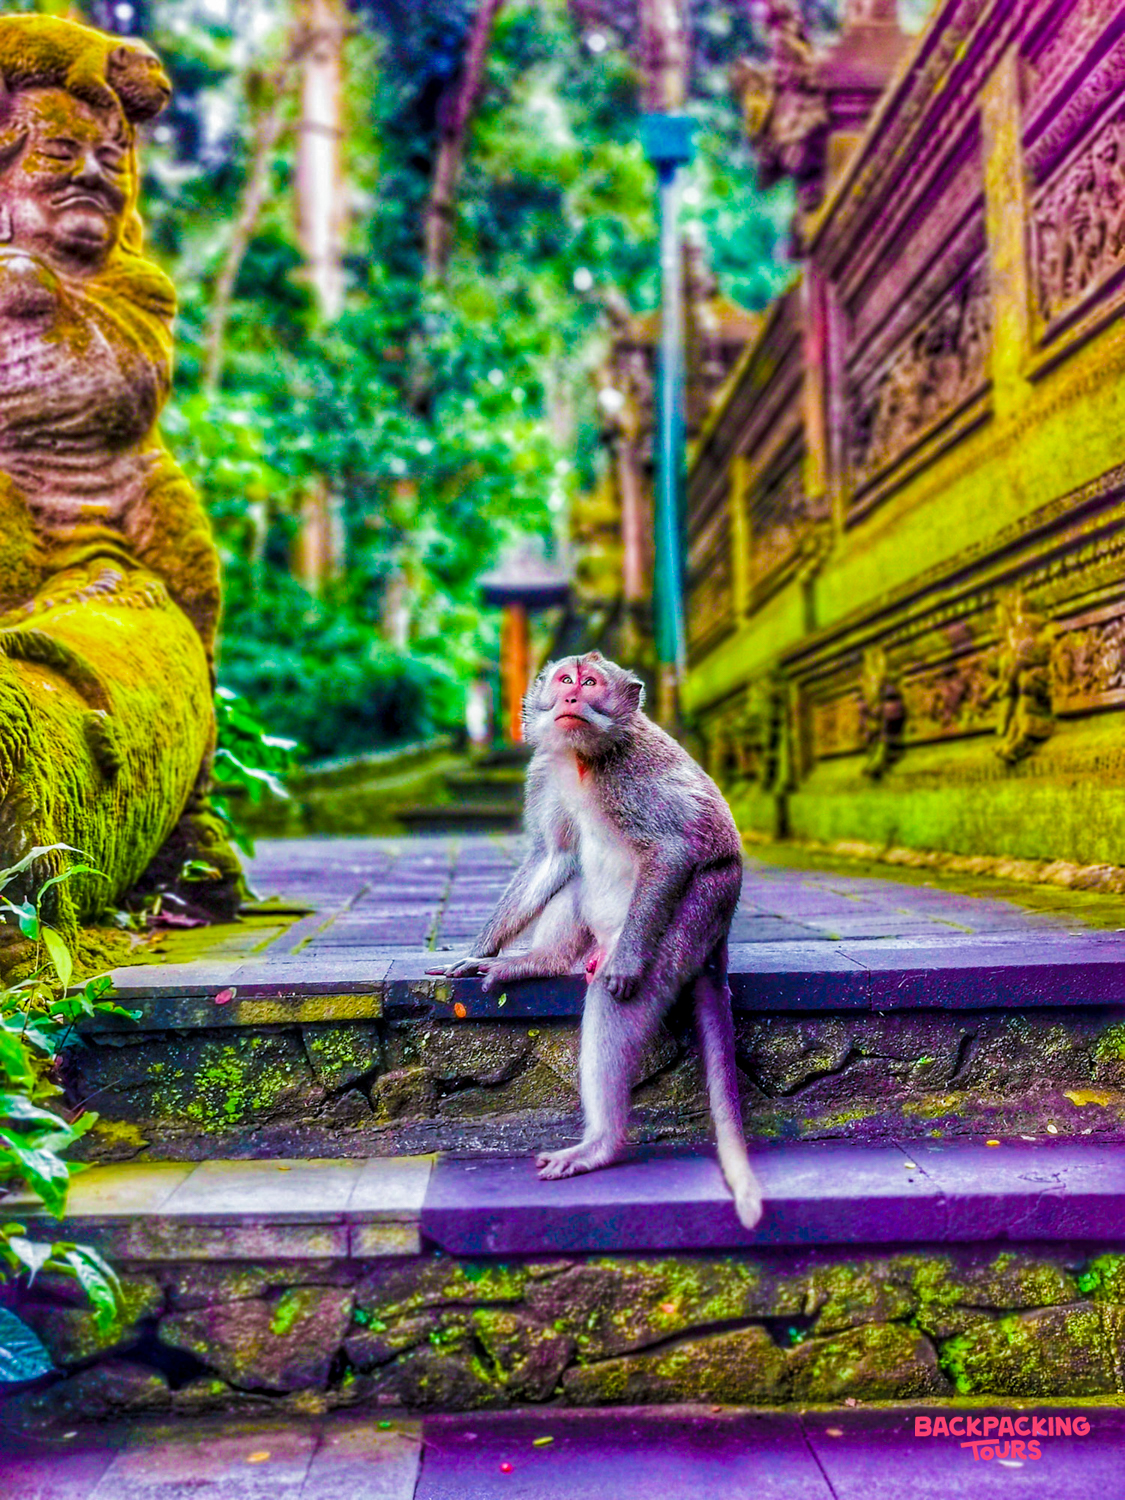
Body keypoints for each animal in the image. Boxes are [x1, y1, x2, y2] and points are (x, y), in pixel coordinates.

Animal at [428, 651, 763, 1229]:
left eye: (589, 683)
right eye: (565, 680)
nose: (570, 697)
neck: (583, 760)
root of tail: (720, 933)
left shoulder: (633, 777)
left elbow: (671, 852)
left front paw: (624, 968)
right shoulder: (545, 774)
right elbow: (551, 857)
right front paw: (480, 950)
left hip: (694, 915)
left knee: (617, 999)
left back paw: (601, 1144)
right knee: (575, 877)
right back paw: (537, 961)